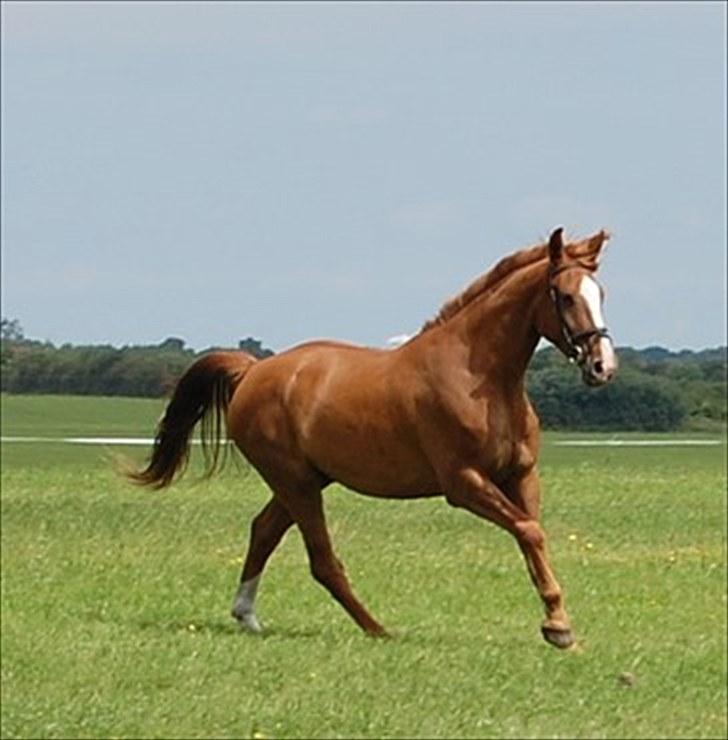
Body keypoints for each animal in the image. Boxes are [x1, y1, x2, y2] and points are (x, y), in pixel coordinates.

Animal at [129, 225, 616, 648]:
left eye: (601, 294)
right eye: (566, 296)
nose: (602, 366)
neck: (479, 375)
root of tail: (253, 371)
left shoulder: (520, 475)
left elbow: (533, 537)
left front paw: (558, 623)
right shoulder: (463, 482)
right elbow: (529, 532)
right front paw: (558, 628)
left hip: (306, 480)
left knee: (264, 531)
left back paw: (247, 615)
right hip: (296, 482)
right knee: (322, 560)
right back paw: (377, 629)